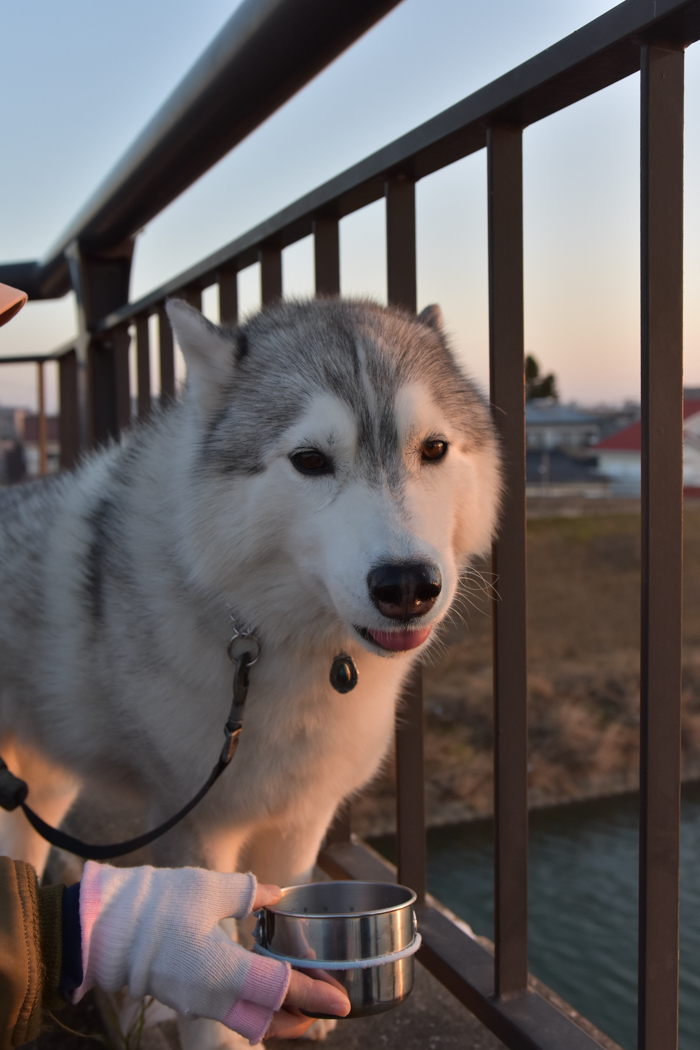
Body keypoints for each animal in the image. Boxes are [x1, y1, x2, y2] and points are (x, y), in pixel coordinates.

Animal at [0, 300, 501, 1045]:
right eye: (310, 460)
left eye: (433, 449)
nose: (408, 585)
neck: (278, 647)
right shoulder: (193, 827)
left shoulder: (302, 816)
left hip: (47, 782)